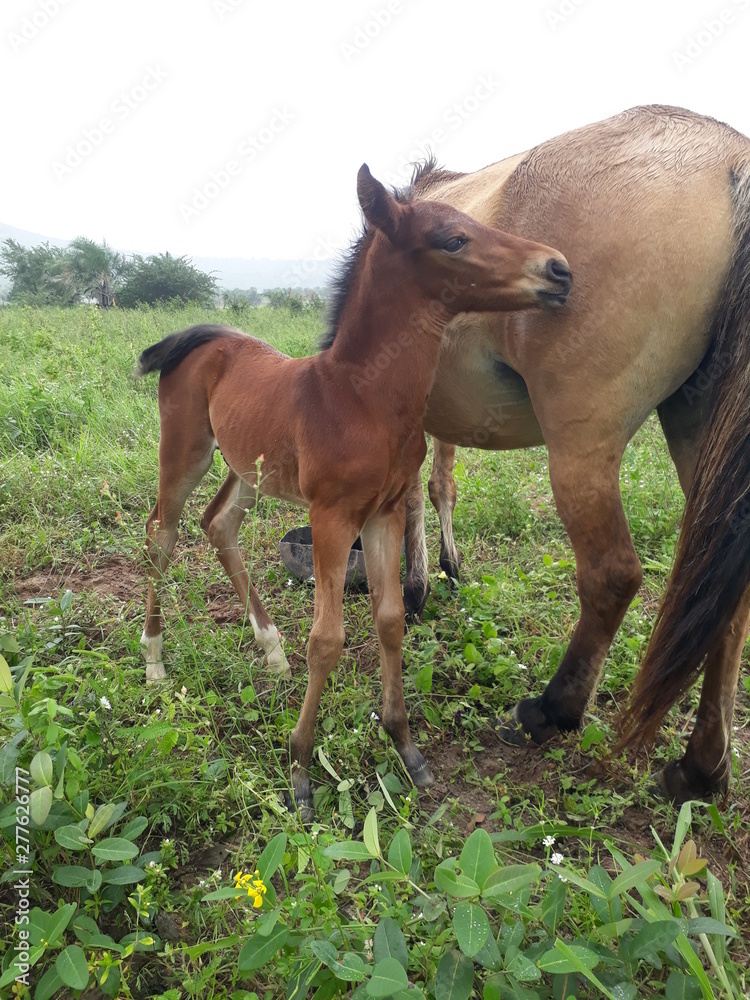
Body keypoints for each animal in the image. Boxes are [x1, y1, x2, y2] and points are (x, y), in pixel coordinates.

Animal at [136, 164, 572, 816]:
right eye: (453, 239)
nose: (559, 269)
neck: (362, 398)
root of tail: (203, 336)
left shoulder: (384, 513)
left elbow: (390, 620)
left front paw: (407, 748)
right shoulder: (332, 517)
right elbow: (327, 639)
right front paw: (298, 771)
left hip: (249, 469)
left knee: (219, 523)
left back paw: (271, 648)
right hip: (184, 452)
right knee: (161, 534)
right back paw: (156, 663)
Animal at [400, 104, 750, 804]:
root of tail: (730, 159)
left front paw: (417, 584)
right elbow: (440, 482)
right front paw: (445, 570)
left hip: (581, 446)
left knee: (613, 575)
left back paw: (551, 710)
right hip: (701, 432)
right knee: (723, 594)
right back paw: (701, 768)